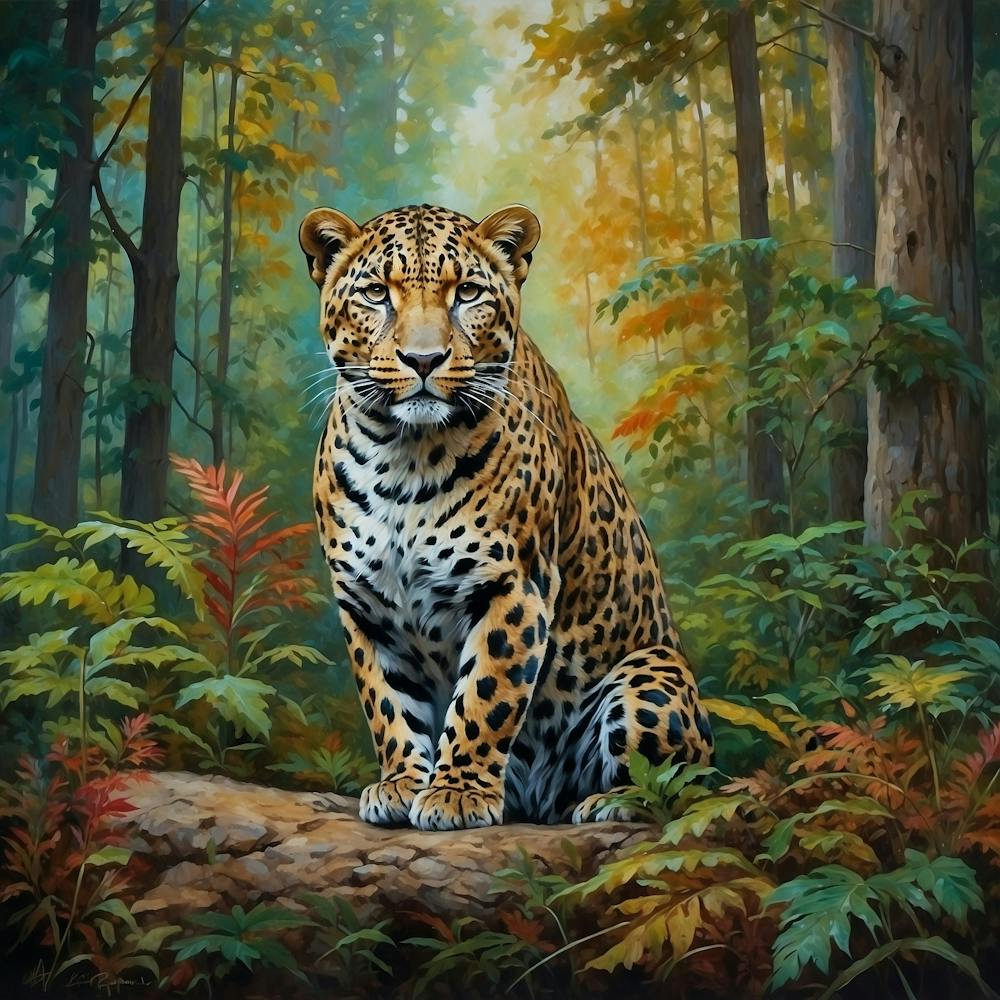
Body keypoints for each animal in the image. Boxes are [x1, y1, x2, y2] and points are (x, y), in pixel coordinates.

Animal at [299, 201, 713, 831]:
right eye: (376, 294)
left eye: (467, 293)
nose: (424, 359)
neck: (405, 457)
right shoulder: (366, 605)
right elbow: (387, 703)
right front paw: (400, 785)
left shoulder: (515, 585)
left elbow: (485, 696)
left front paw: (456, 794)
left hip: (654, 670)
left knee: (676, 788)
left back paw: (609, 803)